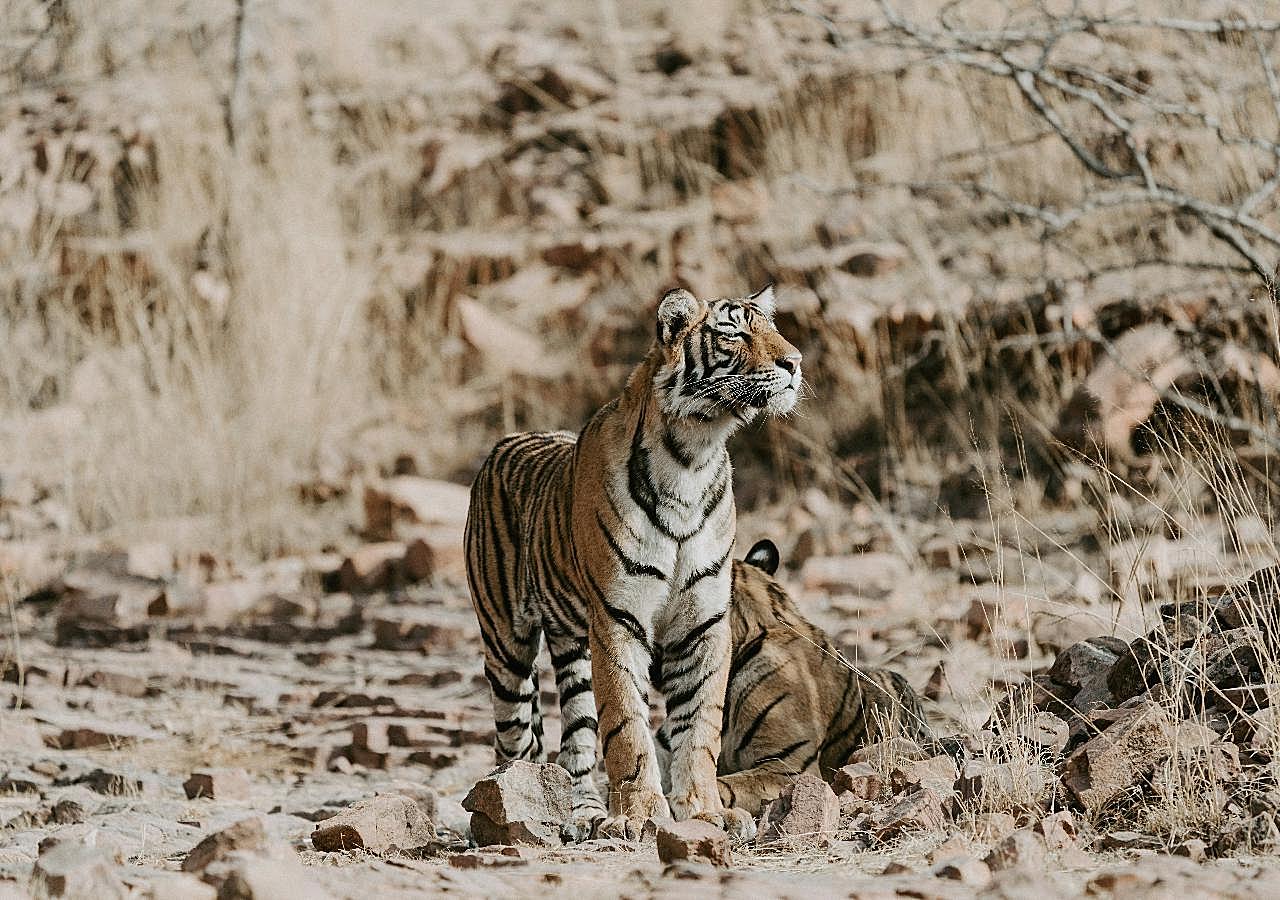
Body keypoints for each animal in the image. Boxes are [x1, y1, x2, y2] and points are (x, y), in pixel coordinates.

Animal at [465, 286, 798, 839]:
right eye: (733, 333)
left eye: (774, 329)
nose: (794, 362)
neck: (694, 456)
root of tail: (505, 442)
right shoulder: (619, 619)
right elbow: (627, 725)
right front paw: (642, 816)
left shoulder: (703, 622)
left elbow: (699, 726)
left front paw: (704, 810)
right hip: (506, 646)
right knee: (512, 742)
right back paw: (508, 815)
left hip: (574, 649)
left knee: (576, 738)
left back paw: (583, 815)